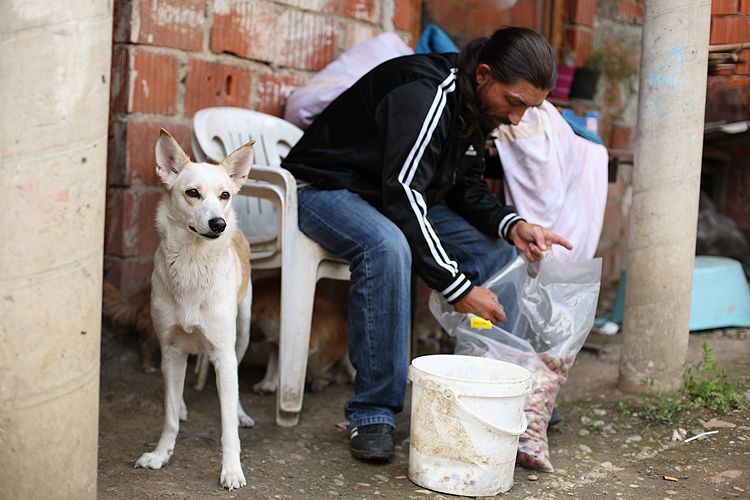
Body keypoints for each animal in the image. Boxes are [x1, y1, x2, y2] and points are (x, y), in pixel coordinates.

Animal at [134, 129, 254, 488]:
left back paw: (241, 412)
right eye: (192, 193)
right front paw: (161, 455)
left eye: (225, 194)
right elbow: (169, 416)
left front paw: (231, 470)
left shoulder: (223, 353)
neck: (192, 262)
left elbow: (228, 427)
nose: (218, 224)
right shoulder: (171, 347)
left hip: (242, 332)